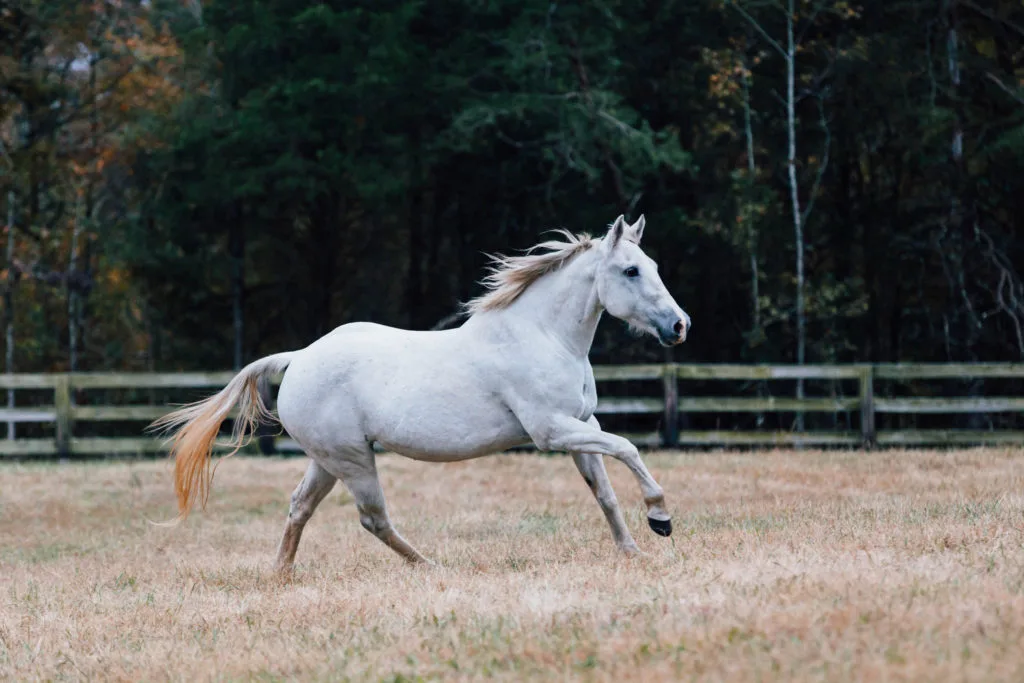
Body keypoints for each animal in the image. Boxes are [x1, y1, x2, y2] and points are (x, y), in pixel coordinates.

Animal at [153, 214, 690, 573]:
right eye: (630, 271)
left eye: (652, 264)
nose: (679, 326)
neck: (542, 335)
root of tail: (298, 357)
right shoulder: (552, 432)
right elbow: (628, 448)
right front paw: (661, 518)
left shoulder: (582, 426)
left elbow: (605, 493)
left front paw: (633, 551)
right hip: (352, 460)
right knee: (373, 518)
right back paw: (431, 567)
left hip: (328, 461)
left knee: (299, 507)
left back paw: (282, 576)